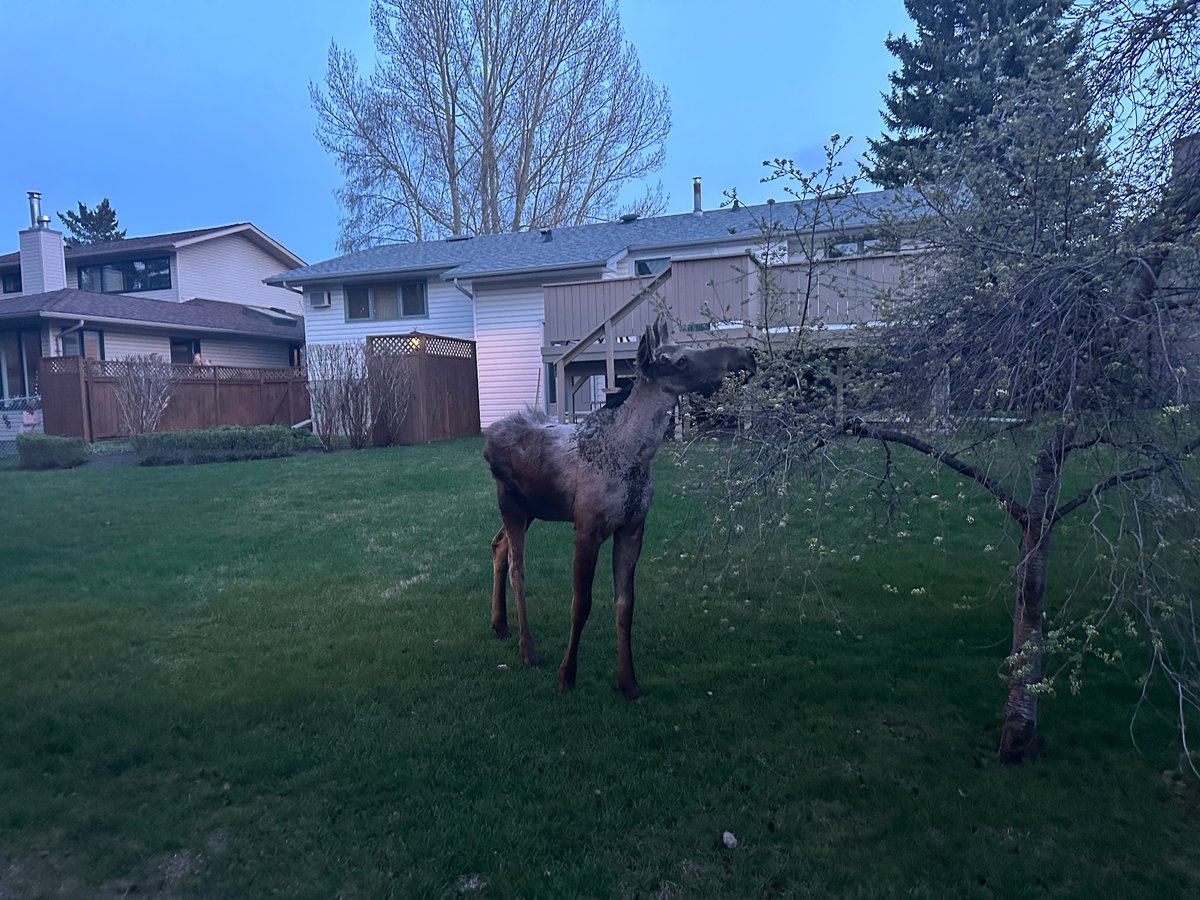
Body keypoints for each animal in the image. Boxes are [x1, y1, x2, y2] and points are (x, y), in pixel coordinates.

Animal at [484, 321, 748, 700]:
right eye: (680, 360)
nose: (746, 356)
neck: (635, 457)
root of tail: (490, 435)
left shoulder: (633, 526)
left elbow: (625, 604)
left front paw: (628, 681)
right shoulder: (587, 527)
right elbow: (581, 604)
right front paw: (567, 675)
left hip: (532, 507)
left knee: (497, 545)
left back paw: (500, 624)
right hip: (510, 503)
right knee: (517, 567)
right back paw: (527, 649)